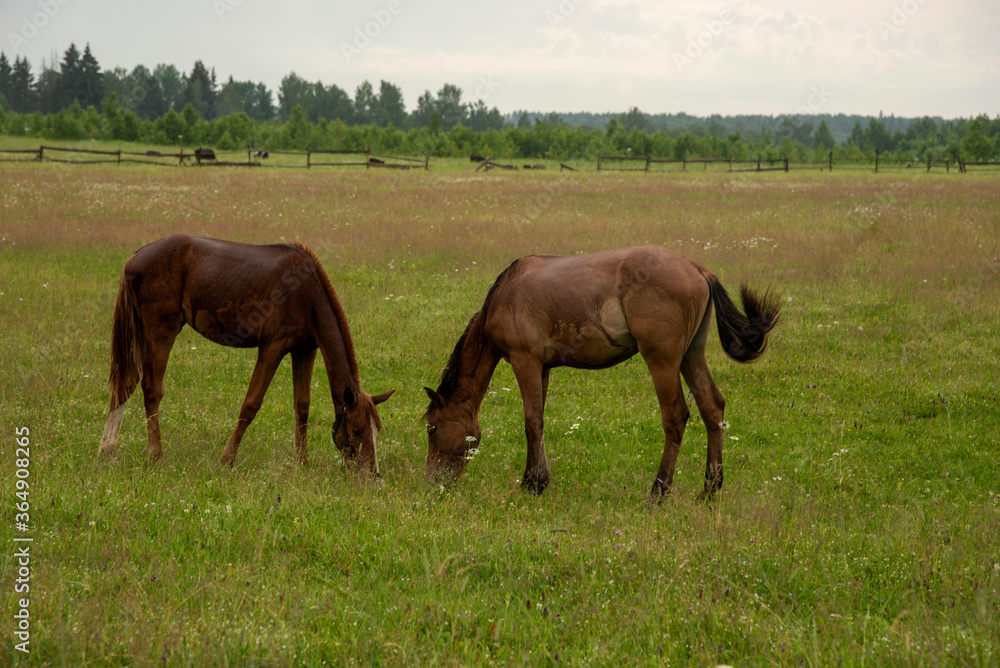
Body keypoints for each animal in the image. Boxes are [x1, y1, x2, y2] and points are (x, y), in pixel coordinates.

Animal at [98, 235, 394, 474]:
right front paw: (227, 458)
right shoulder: (272, 349)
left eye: (376, 430)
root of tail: (136, 256)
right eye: (357, 430)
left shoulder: (304, 351)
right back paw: (156, 455)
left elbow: (302, 407)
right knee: (151, 389)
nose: (372, 473)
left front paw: (302, 462)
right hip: (162, 333)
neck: (305, 291)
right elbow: (251, 405)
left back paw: (108, 449)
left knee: (126, 384)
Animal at [422, 245, 780, 500]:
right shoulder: (542, 368)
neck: (505, 293)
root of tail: (696, 268)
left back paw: (658, 491)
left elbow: (531, 422)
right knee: (712, 408)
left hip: (662, 361)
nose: (432, 482)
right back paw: (709, 489)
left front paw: (530, 483)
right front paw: (541, 480)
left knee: (676, 417)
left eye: (432, 428)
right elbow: (540, 419)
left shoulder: (526, 362)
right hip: (691, 356)